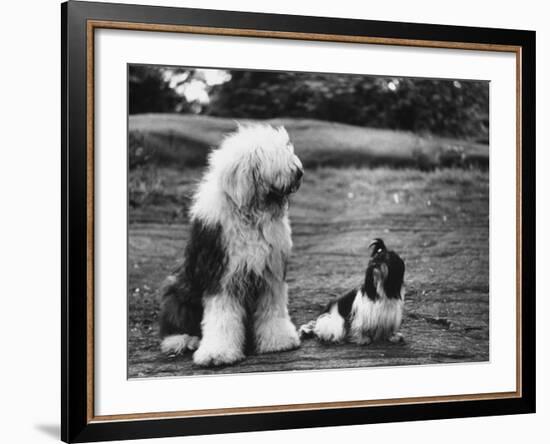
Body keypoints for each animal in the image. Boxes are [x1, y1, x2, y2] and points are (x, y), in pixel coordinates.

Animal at [160, 123, 306, 366]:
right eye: (275, 155)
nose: (299, 172)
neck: (251, 213)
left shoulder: (270, 275)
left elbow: (273, 310)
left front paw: (279, 340)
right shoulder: (221, 276)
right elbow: (222, 317)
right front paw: (217, 353)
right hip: (178, 288)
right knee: (175, 320)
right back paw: (182, 340)